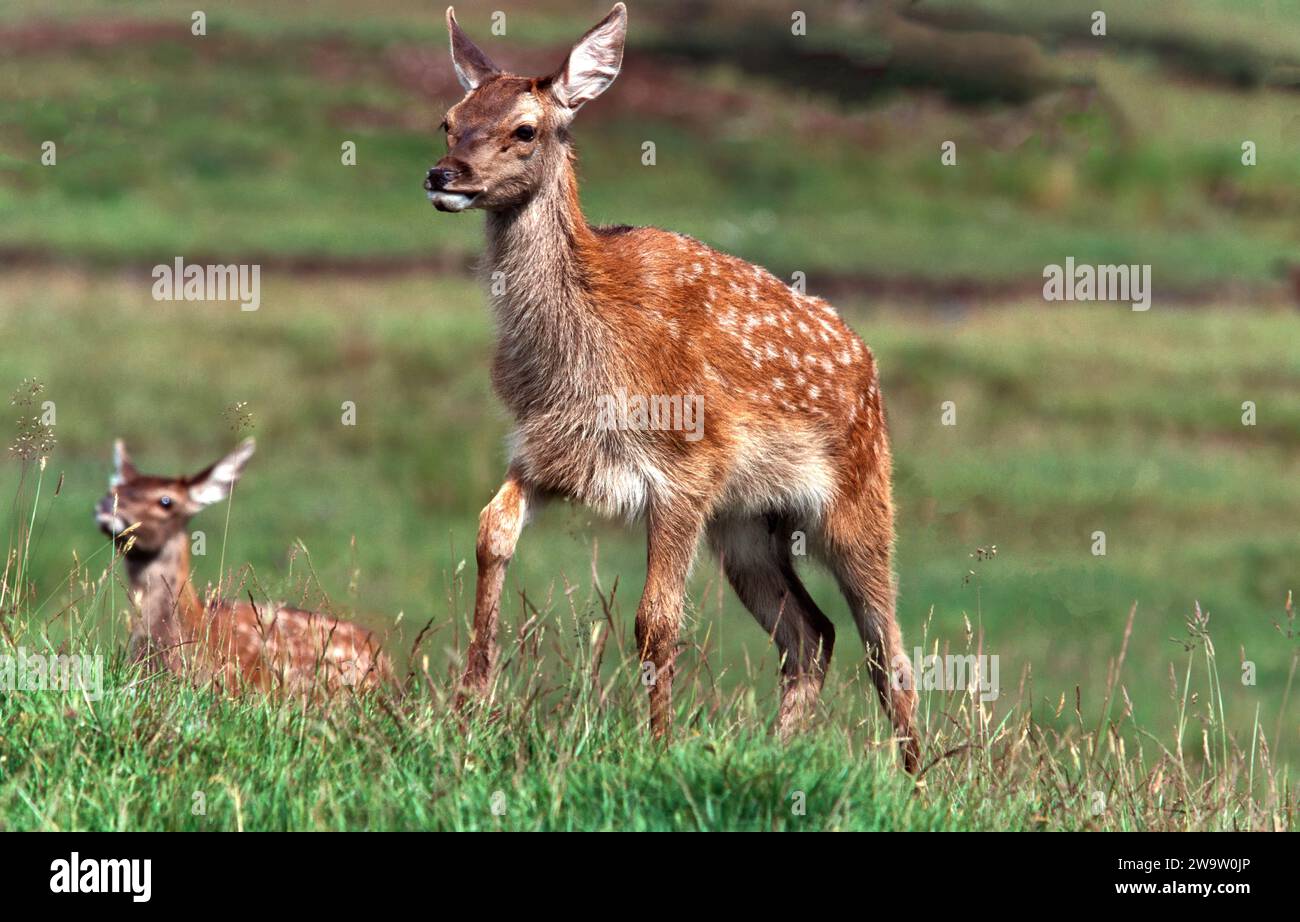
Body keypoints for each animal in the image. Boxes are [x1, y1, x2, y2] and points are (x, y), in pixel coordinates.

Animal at [427, 3, 919, 771]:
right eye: (449, 119)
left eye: (525, 129)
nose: (443, 174)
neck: (584, 358)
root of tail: (867, 360)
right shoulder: (543, 451)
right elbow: (490, 533)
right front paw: (467, 709)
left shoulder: (685, 471)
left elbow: (655, 620)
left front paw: (657, 748)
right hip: (746, 521)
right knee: (811, 634)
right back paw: (778, 753)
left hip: (859, 499)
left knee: (888, 650)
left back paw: (916, 780)